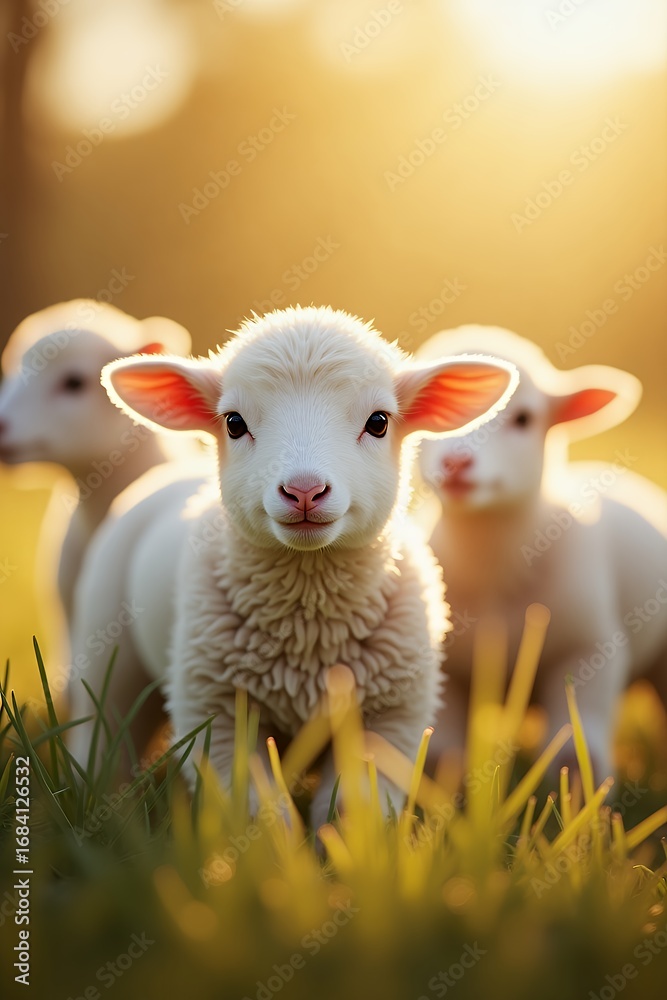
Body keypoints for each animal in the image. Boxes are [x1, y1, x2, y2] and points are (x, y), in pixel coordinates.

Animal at [90, 305, 518, 822]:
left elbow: (355, 809)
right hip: (104, 641)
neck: (309, 618)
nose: (304, 491)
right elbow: (257, 813)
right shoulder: (217, 713)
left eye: (379, 422)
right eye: (234, 423)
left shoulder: (388, 719)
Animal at [415, 325, 667, 781]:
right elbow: (443, 749)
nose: (456, 463)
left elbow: (576, 745)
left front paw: (581, 787)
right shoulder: (445, 666)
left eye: (524, 419)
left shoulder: (589, 650)